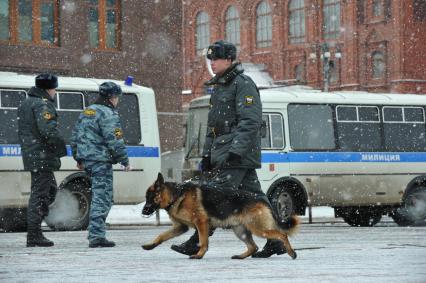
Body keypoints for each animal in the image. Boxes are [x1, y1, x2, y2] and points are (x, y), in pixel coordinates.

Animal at [18, 74, 66, 248]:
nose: (54, 92)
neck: (37, 96)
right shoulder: (43, 110)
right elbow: (48, 130)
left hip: (40, 172)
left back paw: (35, 238)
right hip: (42, 172)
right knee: (39, 199)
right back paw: (36, 239)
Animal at [70, 81, 130, 247]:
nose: (116, 101)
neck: (101, 102)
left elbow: (74, 139)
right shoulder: (111, 118)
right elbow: (115, 141)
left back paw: (93, 237)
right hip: (103, 175)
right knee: (102, 203)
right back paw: (99, 240)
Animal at [141, 172, 298, 260]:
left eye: (149, 197)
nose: (143, 212)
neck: (177, 195)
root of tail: (262, 199)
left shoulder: (201, 223)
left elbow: (203, 241)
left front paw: (199, 255)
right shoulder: (181, 227)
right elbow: (161, 235)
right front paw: (150, 245)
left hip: (258, 229)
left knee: (282, 235)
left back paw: (291, 252)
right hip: (240, 231)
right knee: (254, 247)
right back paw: (240, 256)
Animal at [171, 40, 288, 260]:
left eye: (216, 56)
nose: (211, 62)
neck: (228, 78)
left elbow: (247, 118)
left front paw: (193, 244)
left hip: (233, 171)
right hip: (249, 176)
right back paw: (272, 246)